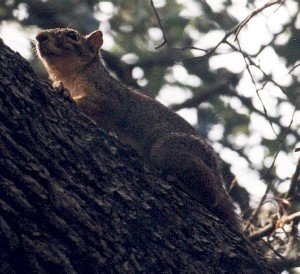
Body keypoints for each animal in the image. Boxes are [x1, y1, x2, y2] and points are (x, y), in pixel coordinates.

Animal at [35, 27, 241, 230]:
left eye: (72, 35)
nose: (39, 36)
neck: (71, 75)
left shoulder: (108, 96)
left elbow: (99, 106)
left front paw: (65, 93)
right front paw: (59, 87)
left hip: (169, 149)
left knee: (212, 197)